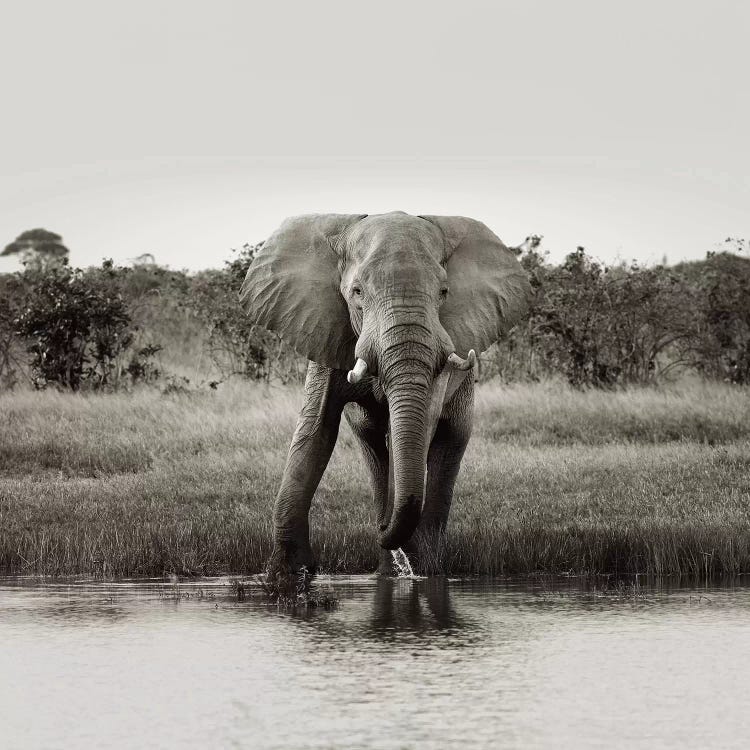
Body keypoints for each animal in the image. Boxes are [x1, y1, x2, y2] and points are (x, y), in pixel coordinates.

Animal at [239, 214, 528, 584]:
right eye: (357, 292)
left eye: (444, 293)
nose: (380, 530)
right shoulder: (325, 331)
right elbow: (315, 431)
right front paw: (287, 578)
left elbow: (421, 426)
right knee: (373, 446)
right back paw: (390, 565)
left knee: (451, 440)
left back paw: (425, 568)